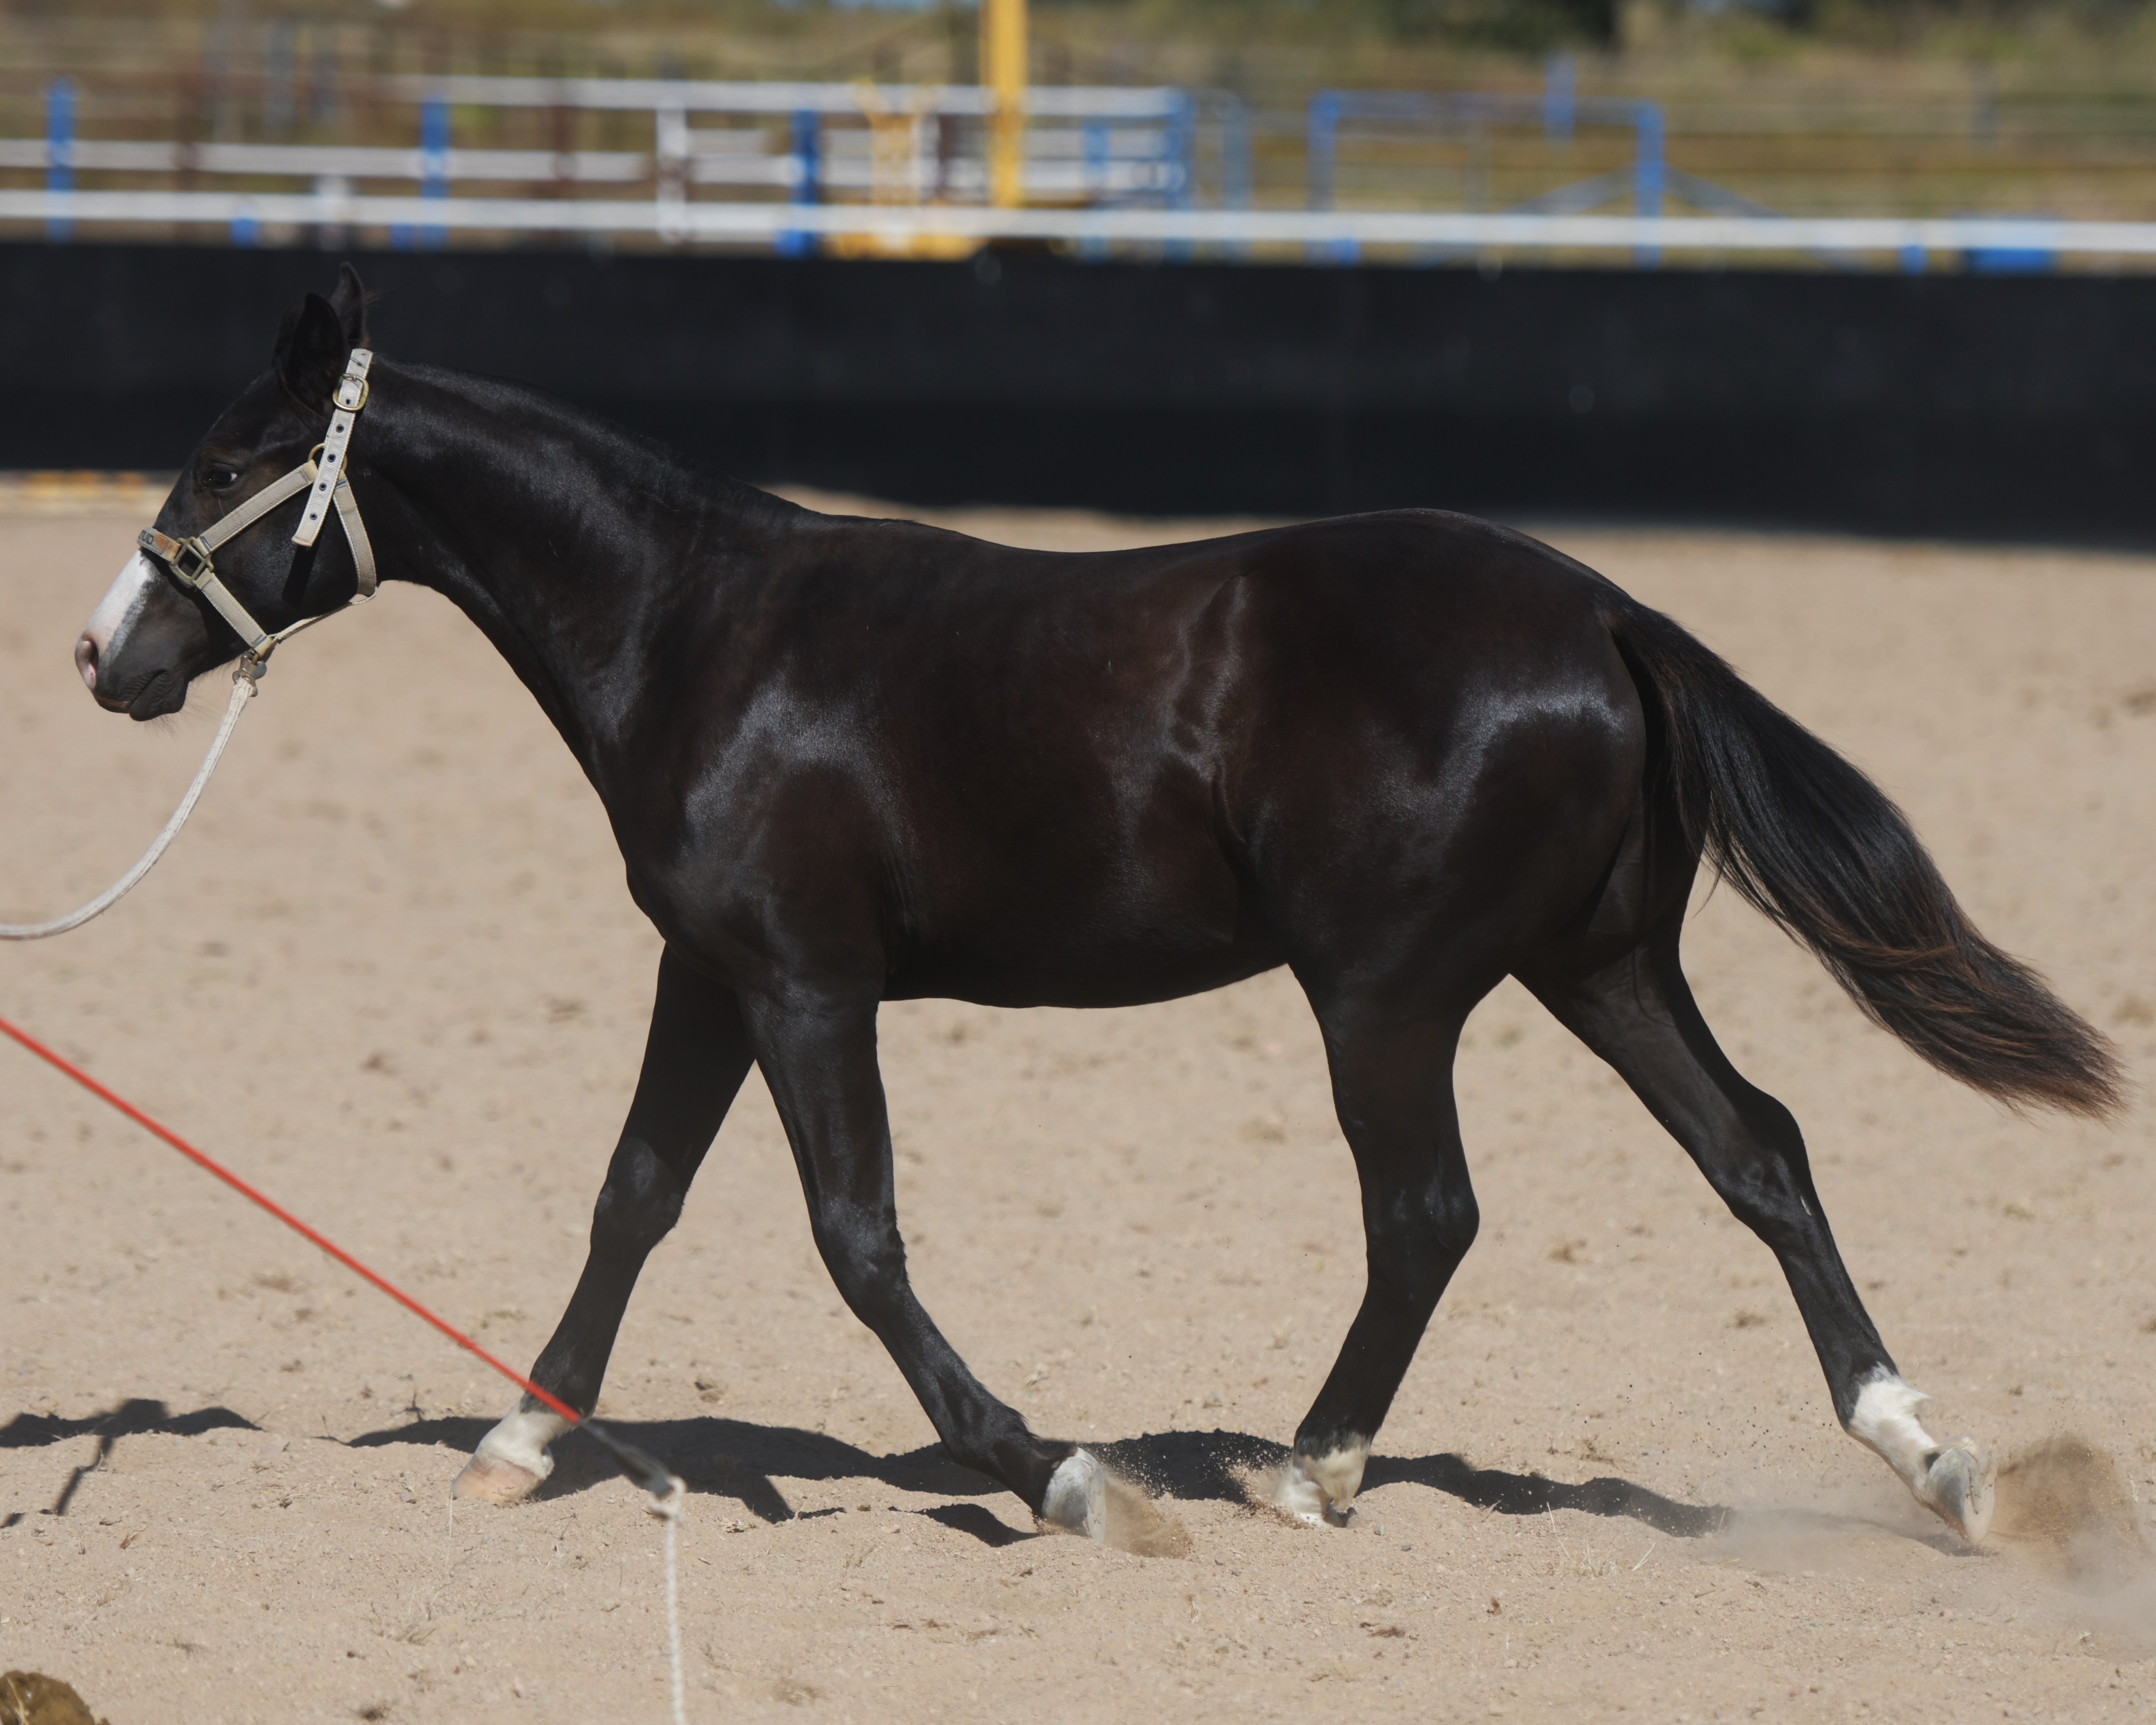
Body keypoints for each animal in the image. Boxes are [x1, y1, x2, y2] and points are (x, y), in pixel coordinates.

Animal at [75, 264, 2120, 1546]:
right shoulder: (709, 971)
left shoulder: (808, 983)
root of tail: (1609, 611)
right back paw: (1931, 1457)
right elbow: (634, 1194)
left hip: (1387, 994)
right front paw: (513, 1438)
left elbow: (854, 1236)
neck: (703, 635)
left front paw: (1057, 1473)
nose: (108, 656)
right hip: (1596, 963)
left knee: (1428, 1211)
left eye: (231, 462)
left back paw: (1302, 1470)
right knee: (1756, 1149)